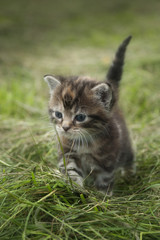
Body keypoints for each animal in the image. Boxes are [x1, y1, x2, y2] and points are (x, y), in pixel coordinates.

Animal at [44, 36, 135, 195]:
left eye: (80, 117)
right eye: (58, 114)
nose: (65, 127)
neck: (84, 142)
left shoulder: (106, 163)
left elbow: (104, 182)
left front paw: (102, 198)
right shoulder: (68, 152)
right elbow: (71, 172)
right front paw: (76, 190)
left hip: (124, 148)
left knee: (129, 156)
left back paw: (129, 175)